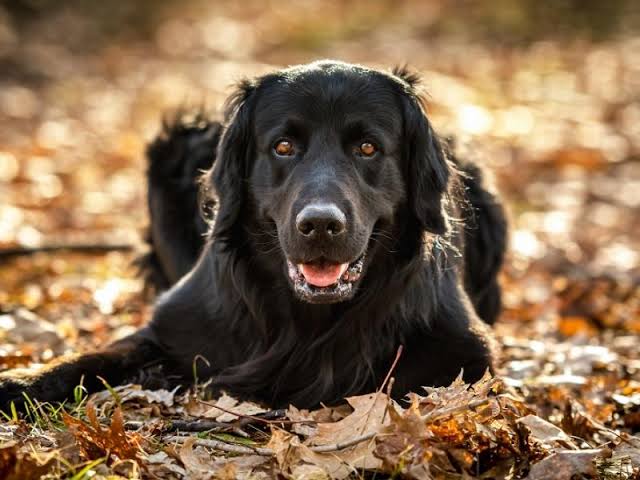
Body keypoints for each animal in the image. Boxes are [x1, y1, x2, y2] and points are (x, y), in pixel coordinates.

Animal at [1, 61, 510, 408]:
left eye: (368, 148)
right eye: (283, 146)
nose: (320, 225)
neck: (306, 318)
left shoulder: (467, 353)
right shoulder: (171, 327)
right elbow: (96, 356)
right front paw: (22, 382)